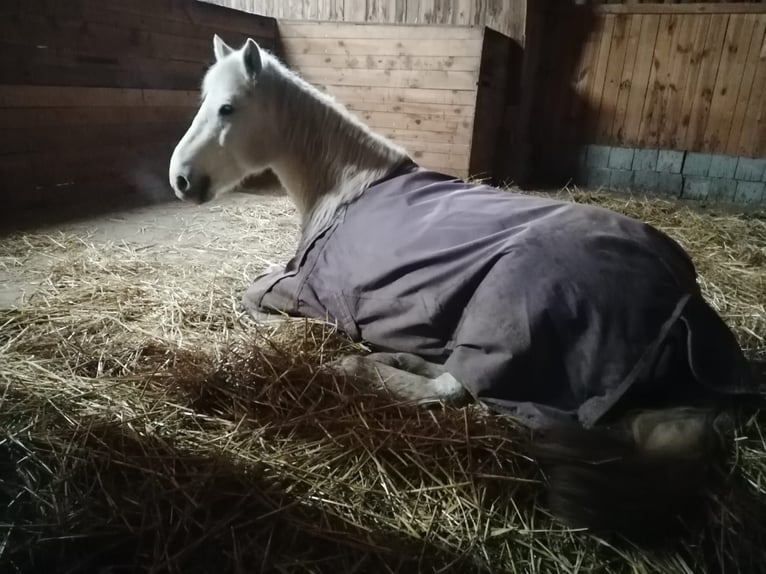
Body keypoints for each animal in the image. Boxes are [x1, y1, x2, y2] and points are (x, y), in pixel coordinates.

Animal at [171, 35, 764, 544]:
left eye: (227, 109)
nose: (179, 179)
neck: (347, 188)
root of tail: (683, 297)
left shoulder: (306, 288)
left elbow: (252, 295)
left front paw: (300, 332)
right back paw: (389, 356)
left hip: (502, 316)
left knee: (451, 388)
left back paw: (355, 364)